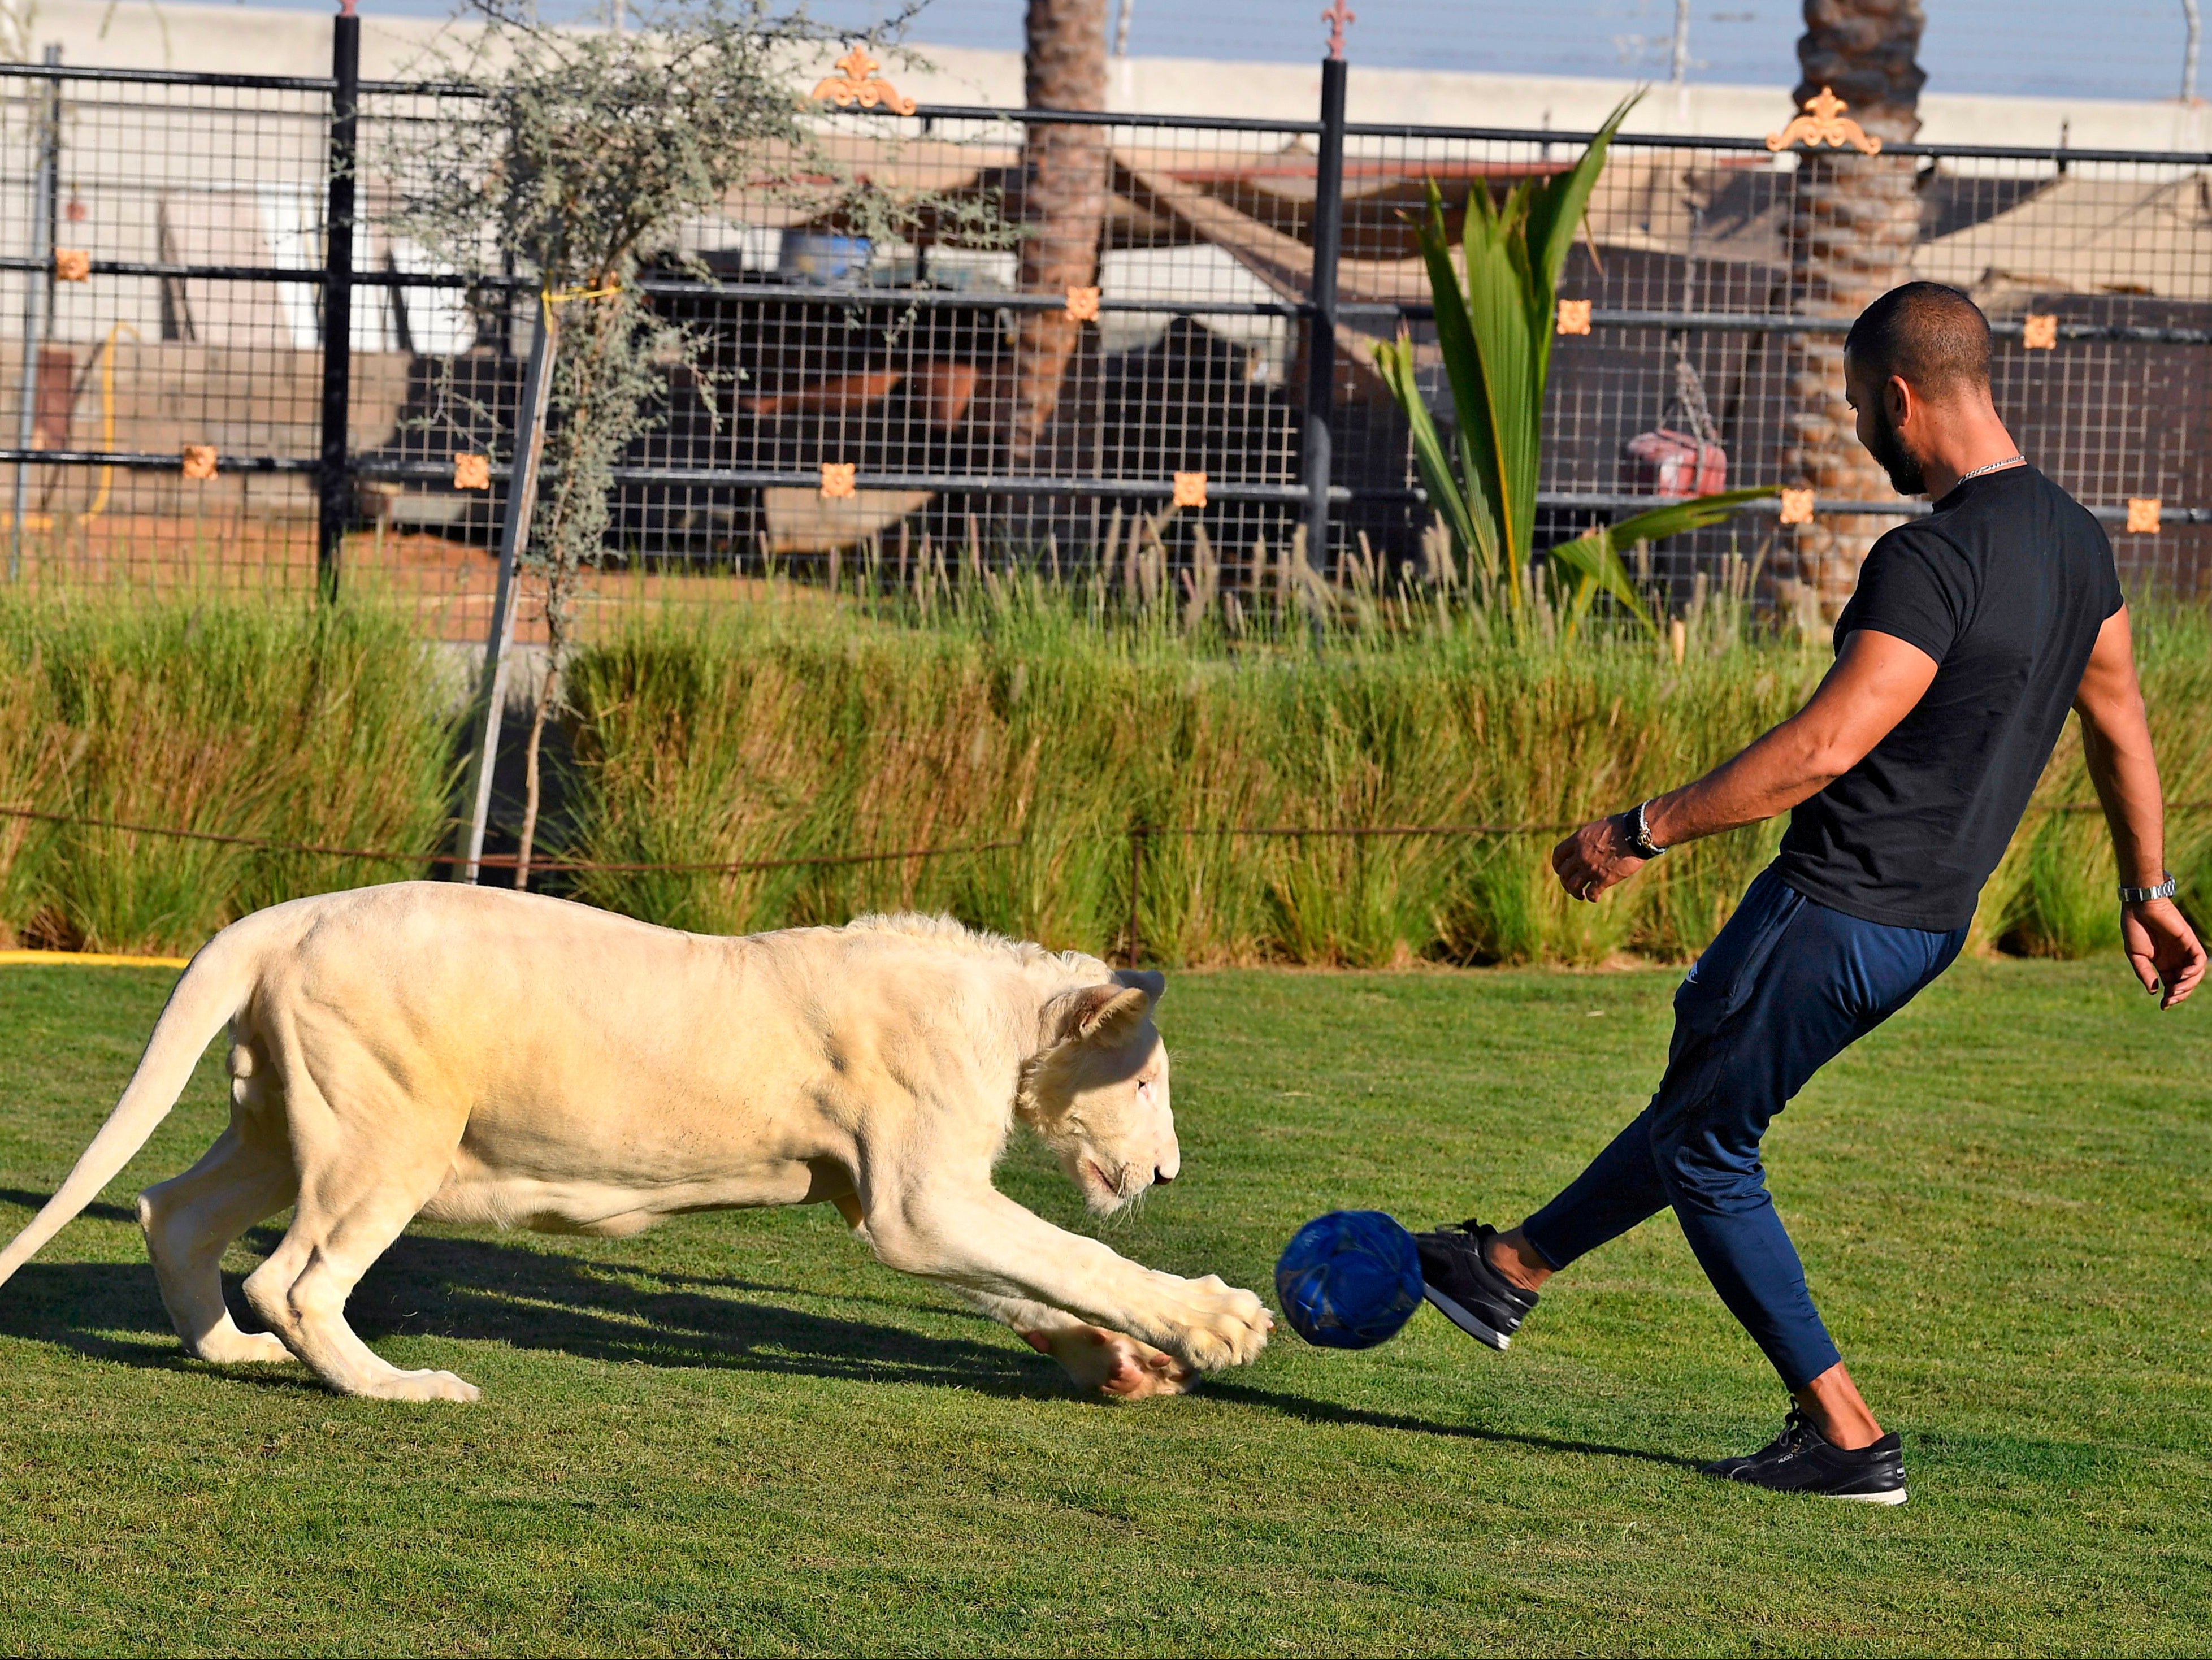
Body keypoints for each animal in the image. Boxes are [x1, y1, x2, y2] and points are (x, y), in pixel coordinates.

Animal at [0, 884, 1272, 1402]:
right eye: (1144, 1081)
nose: (1167, 1170)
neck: (1007, 1018)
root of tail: (282, 916)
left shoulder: (886, 1197)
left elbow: (1023, 1284)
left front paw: (1123, 1363)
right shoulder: (922, 1202)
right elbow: (1074, 1255)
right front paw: (1218, 1323)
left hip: (283, 1120)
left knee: (176, 1212)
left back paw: (230, 1353)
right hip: (390, 1132)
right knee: (295, 1277)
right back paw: (400, 1387)